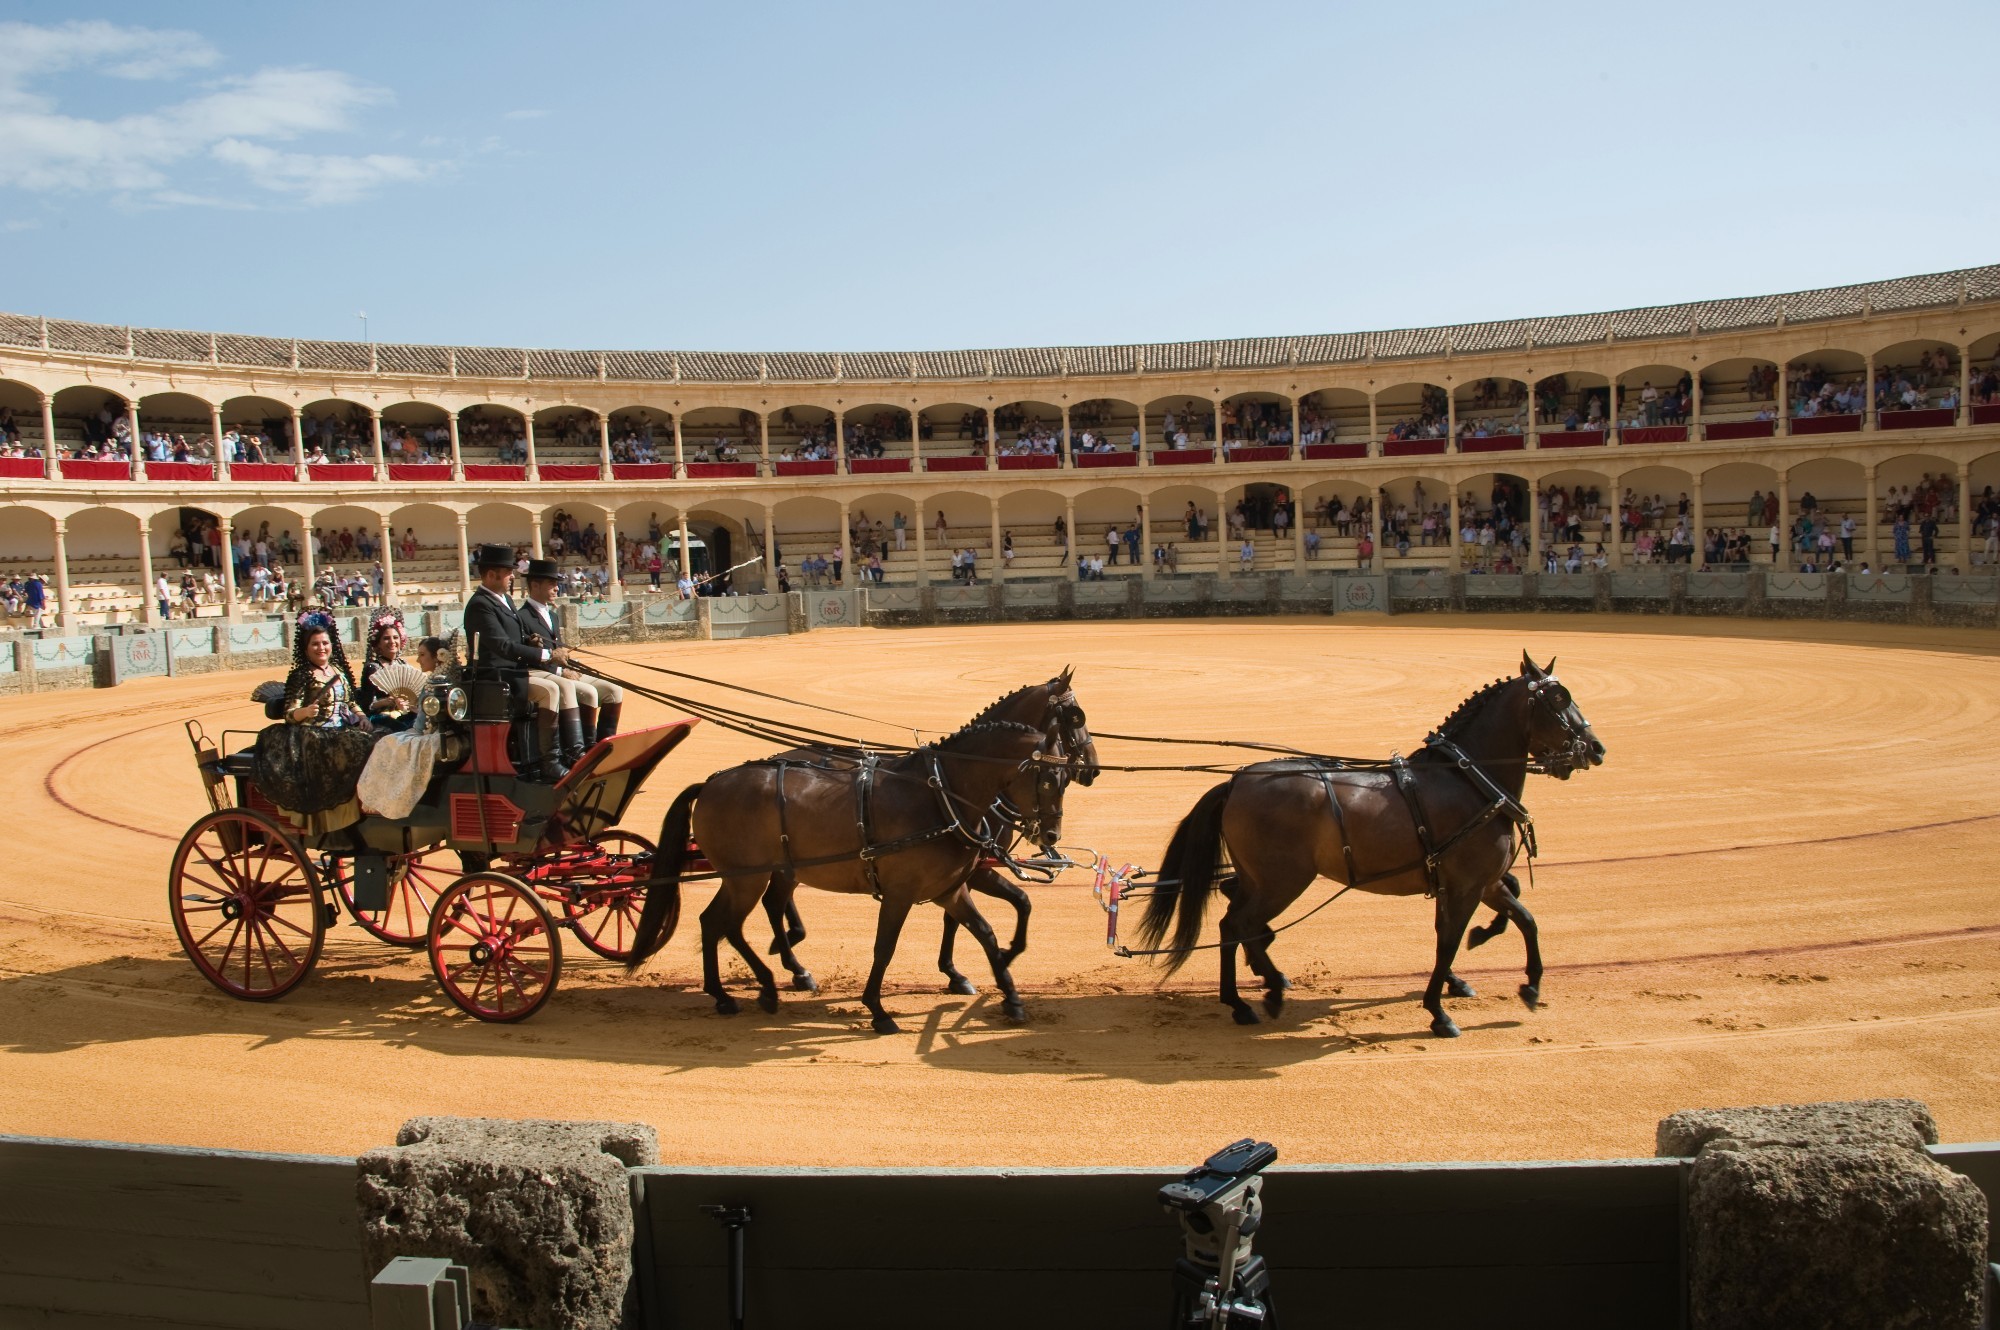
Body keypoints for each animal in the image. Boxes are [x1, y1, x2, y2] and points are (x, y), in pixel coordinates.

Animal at [624, 680, 1096, 1032]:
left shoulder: (951, 887)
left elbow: (987, 931)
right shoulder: (905, 892)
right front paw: (878, 1008)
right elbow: (885, 947)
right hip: (746, 876)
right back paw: (745, 988)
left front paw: (1007, 990)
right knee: (723, 923)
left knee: (728, 921)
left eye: (1062, 779)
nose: (1051, 833)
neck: (941, 793)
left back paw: (757, 983)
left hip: (761, 873)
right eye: (1047, 779)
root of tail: (710, 782)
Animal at [1136, 652, 1600, 1040]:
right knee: (1238, 923)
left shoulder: (1480, 883)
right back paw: (1262, 994)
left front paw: (1528, 984)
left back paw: (1245, 995)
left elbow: (1523, 919)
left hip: (1258, 878)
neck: (1467, 779)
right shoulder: (1468, 885)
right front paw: (1439, 1011)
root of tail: (1236, 781)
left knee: (1234, 919)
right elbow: (1449, 941)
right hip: (1283, 881)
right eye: (1559, 698)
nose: (1596, 750)